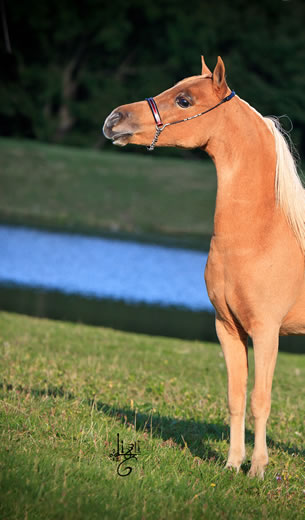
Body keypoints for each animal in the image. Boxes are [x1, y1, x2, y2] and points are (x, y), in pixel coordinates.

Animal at [102, 58, 304, 480]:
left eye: (184, 100)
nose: (114, 120)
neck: (260, 235)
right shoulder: (228, 329)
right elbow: (235, 397)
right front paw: (232, 464)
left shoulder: (266, 332)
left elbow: (260, 399)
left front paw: (257, 469)